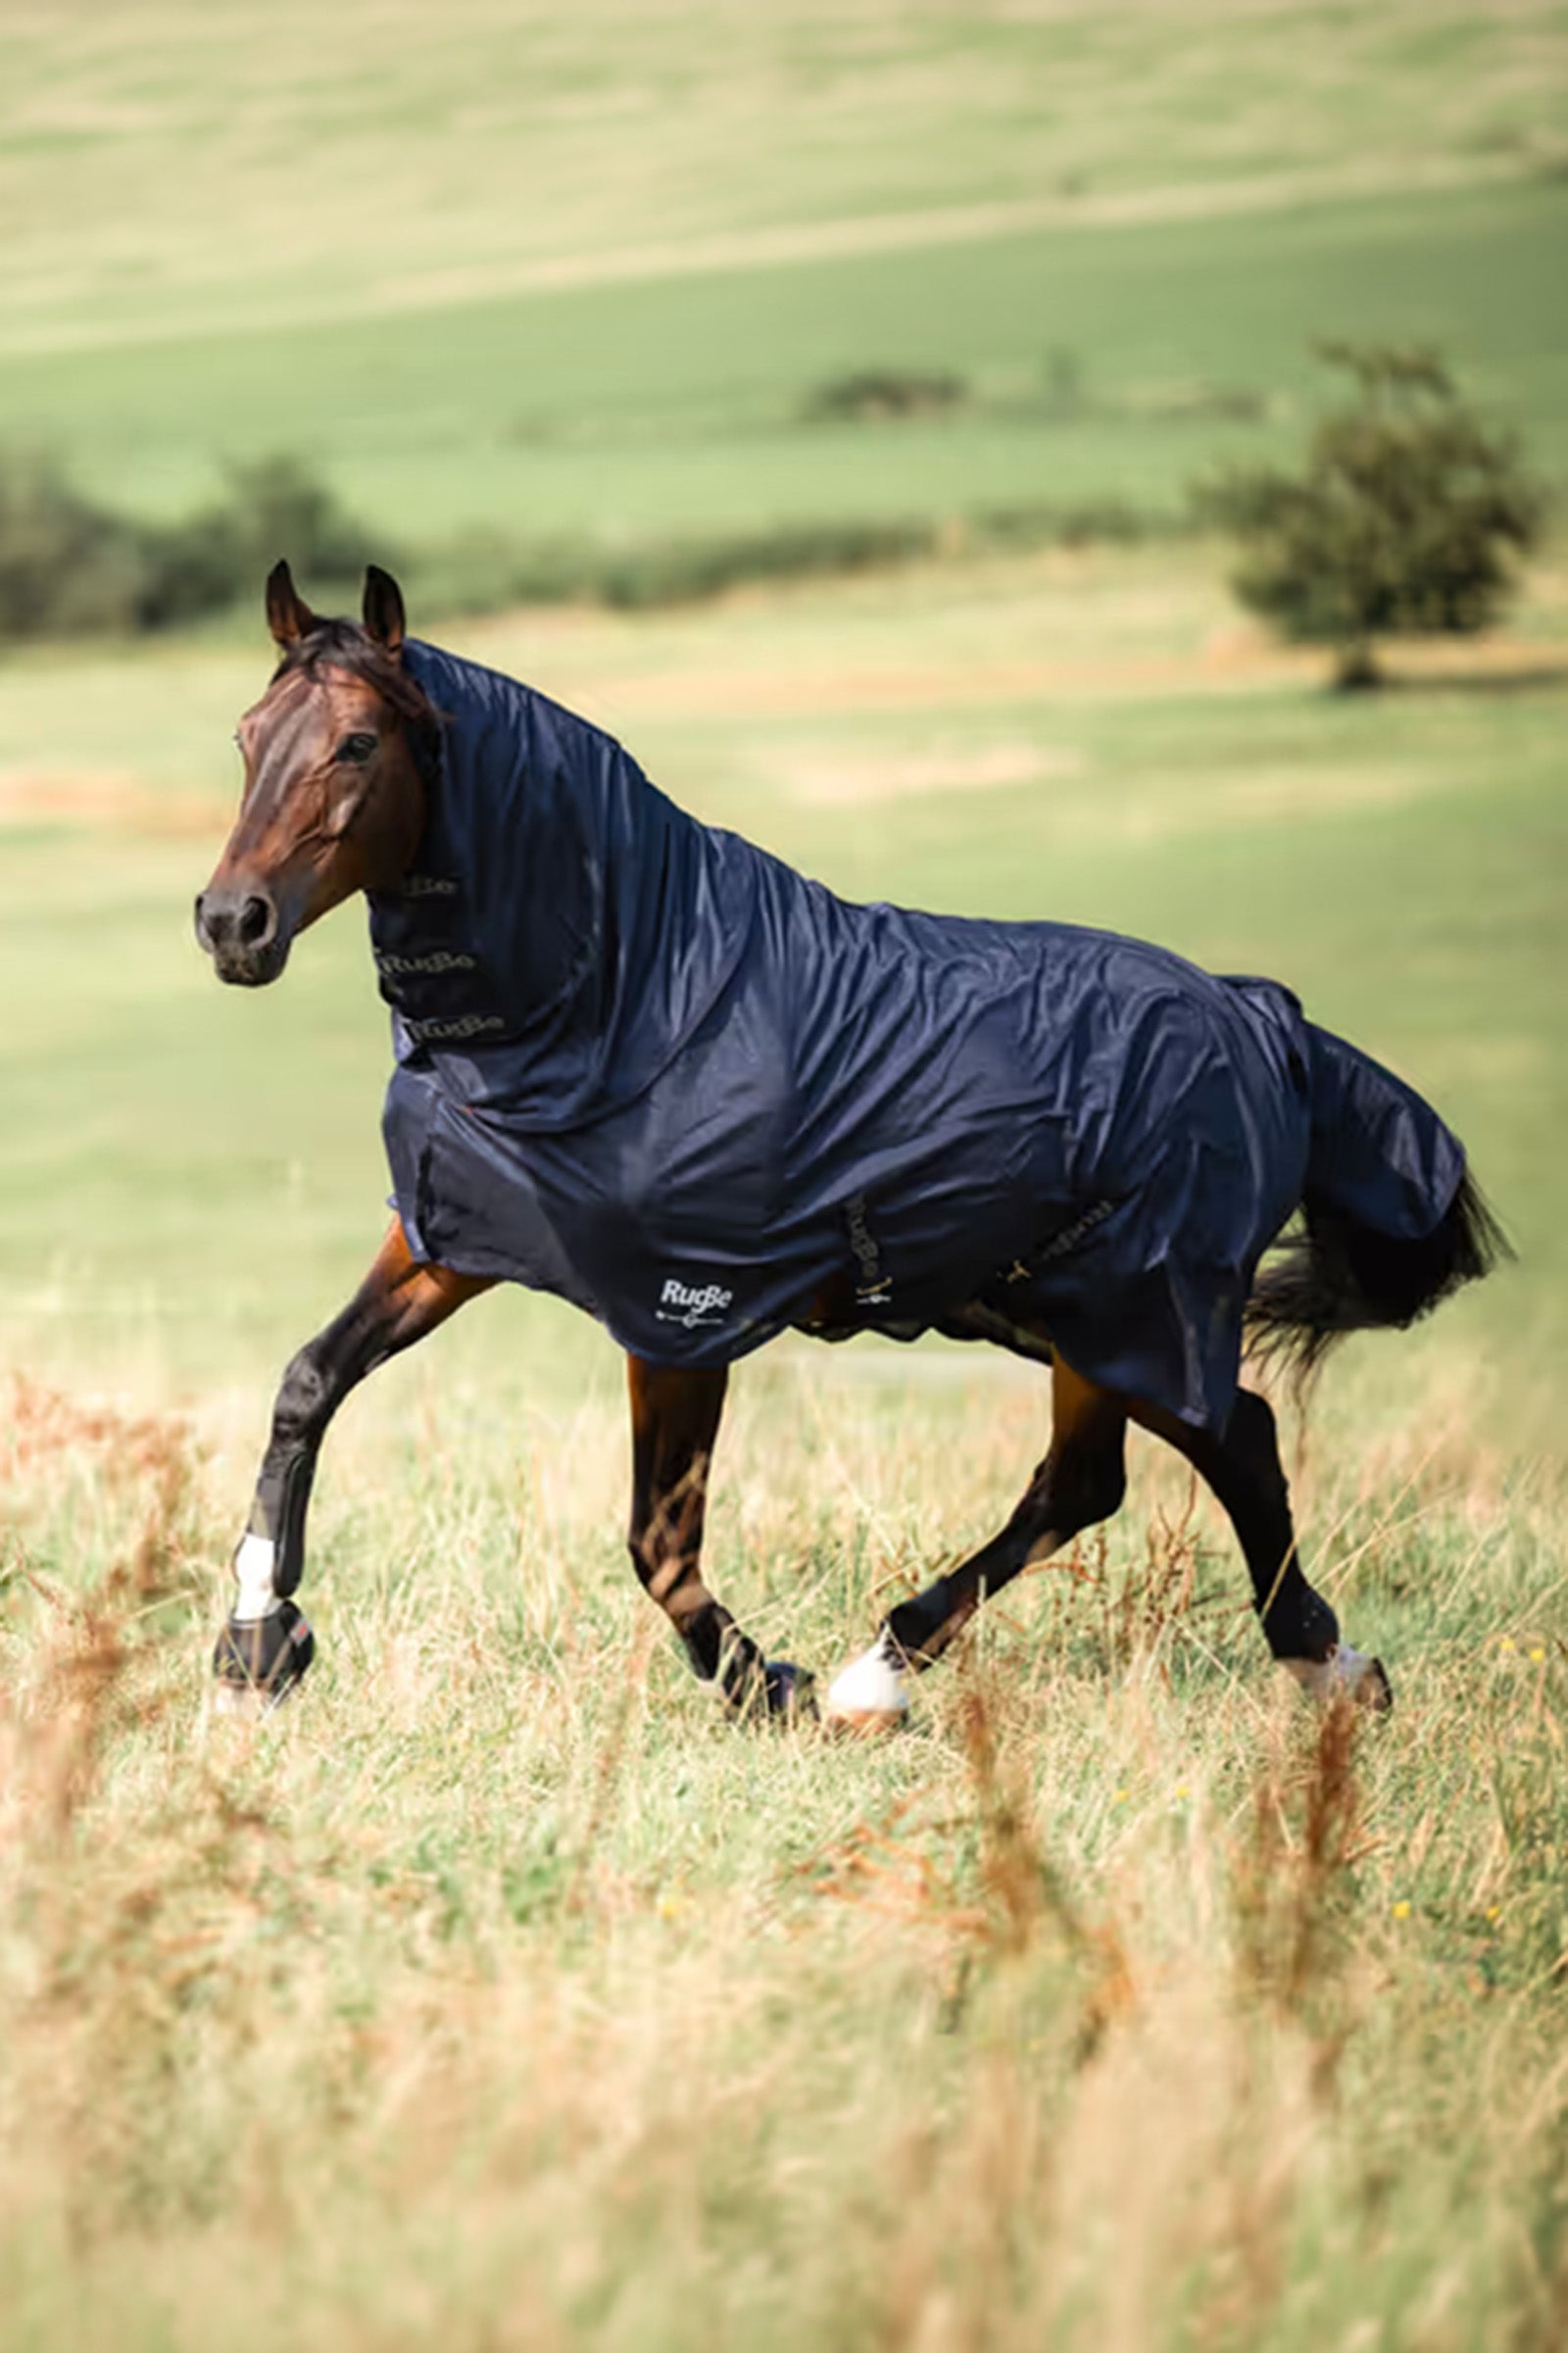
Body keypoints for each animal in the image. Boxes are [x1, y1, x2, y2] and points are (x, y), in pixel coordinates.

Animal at [194, 561, 1504, 1724]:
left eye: (358, 745)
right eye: (248, 735)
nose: (230, 922)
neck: (629, 993)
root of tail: (1262, 1019)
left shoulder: (682, 1313)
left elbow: (657, 1538)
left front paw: (761, 1684)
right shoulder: (453, 1240)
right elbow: (310, 1382)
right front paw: (258, 1642)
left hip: (1125, 1304)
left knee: (1154, 1461)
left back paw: (884, 1674)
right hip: (1051, 1309)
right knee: (1185, 1451)